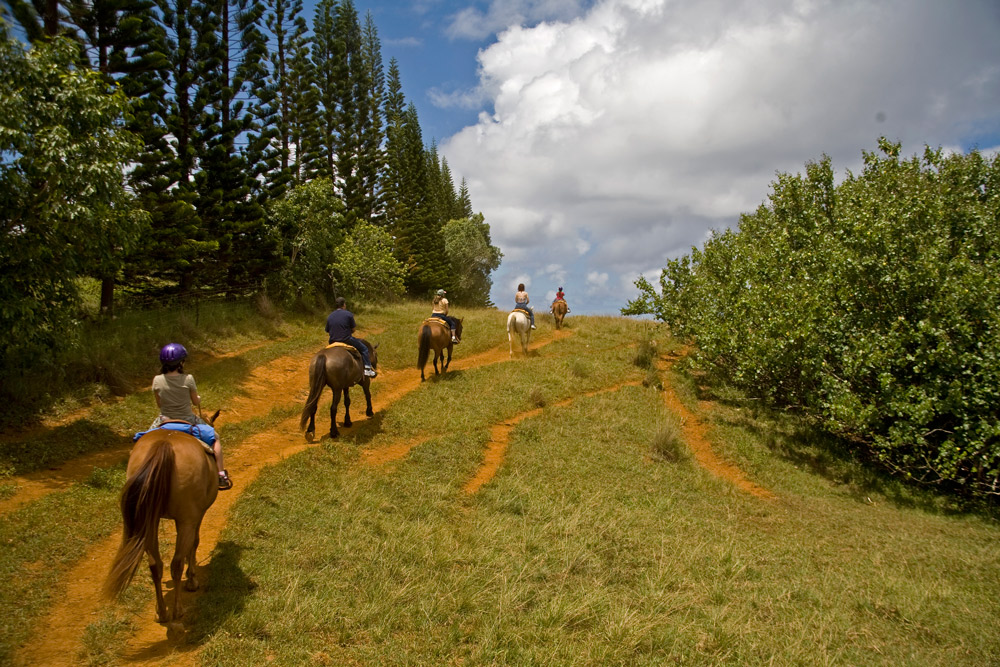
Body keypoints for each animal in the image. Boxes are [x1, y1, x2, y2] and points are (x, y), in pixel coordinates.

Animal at [104, 412, 222, 636]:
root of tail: (164, 444)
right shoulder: (196, 515)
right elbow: (194, 543)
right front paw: (192, 579)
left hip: (149, 521)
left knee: (155, 565)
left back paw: (161, 611)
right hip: (185, 518)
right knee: (175, 564)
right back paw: (177, 612)